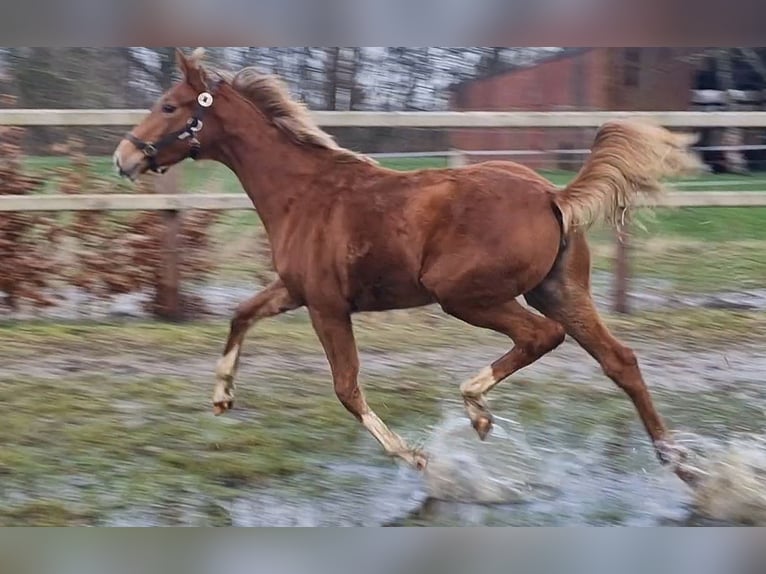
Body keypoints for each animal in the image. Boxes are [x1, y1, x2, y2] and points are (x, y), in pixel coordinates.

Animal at [114, 48, 704, 485]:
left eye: (169, 106)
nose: (124, 157)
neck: (303, 192)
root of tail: (551, 195)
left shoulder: (327, 306)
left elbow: (346, 388)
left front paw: (416, 457)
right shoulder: (295, 290)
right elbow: (240, 314)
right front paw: (221, 398)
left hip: (464, 295)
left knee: (542, 337)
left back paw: (477, 409)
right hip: (557, 290)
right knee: (620, 361)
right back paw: (684, 468)